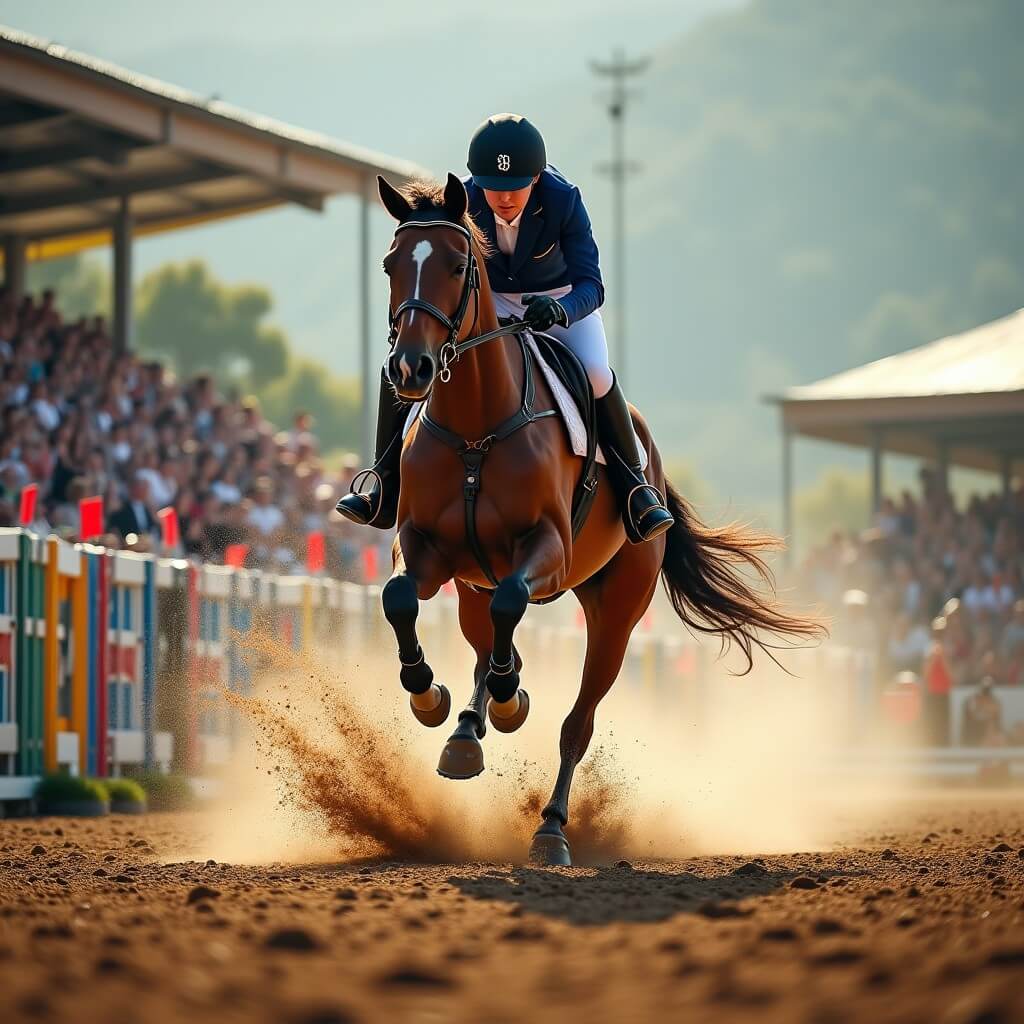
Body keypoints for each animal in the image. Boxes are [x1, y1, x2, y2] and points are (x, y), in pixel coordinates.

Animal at [370, 172, 822, 865]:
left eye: (455, 265)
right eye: (391, 264)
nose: (410, 369)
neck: (476, 425)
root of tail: (653, 463)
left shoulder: (547, 553)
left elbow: (512, 603)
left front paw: (508, 702)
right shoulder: (426, 547)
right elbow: (399, 598)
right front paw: (429, 697)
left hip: (617, 611)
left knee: (575, 720)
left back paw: (550, 826)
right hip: (471, 585)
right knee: (482, 642)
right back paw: (467, 732)